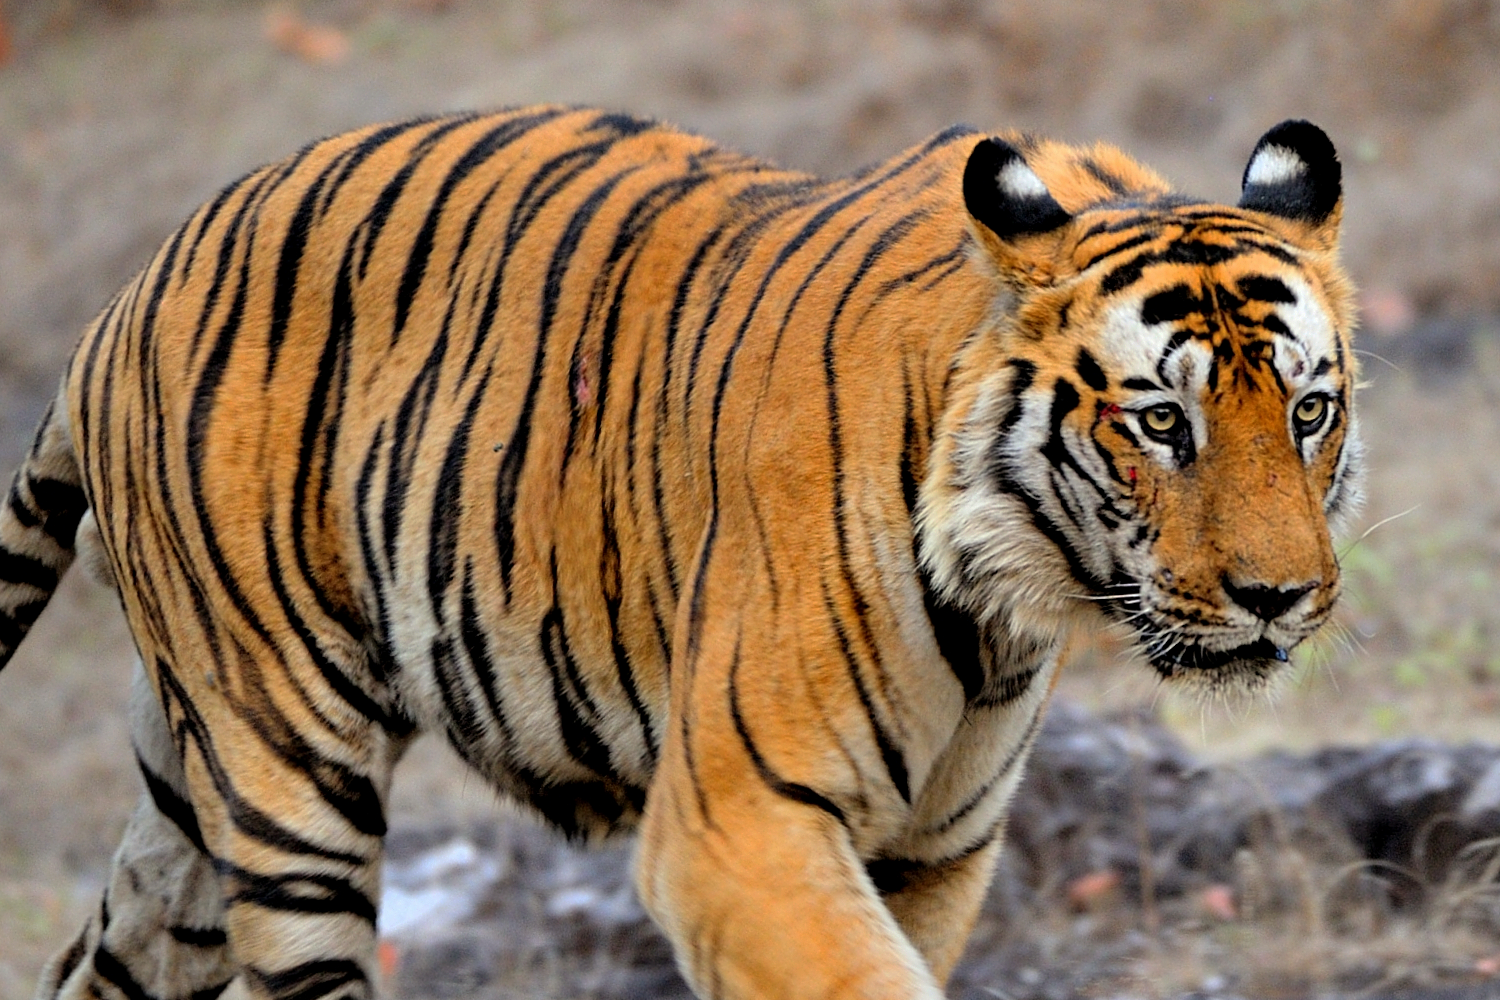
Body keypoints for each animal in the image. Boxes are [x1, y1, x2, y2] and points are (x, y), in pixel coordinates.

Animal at [0, 106, 1358, 1000]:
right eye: (1163, 422)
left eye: (1308, 410)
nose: (1278, 596)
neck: (1005, 603)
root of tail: (121, 298)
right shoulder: (738, 820)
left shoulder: (934, 849)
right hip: (286, 776)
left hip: (187, 792)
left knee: (101, 957)